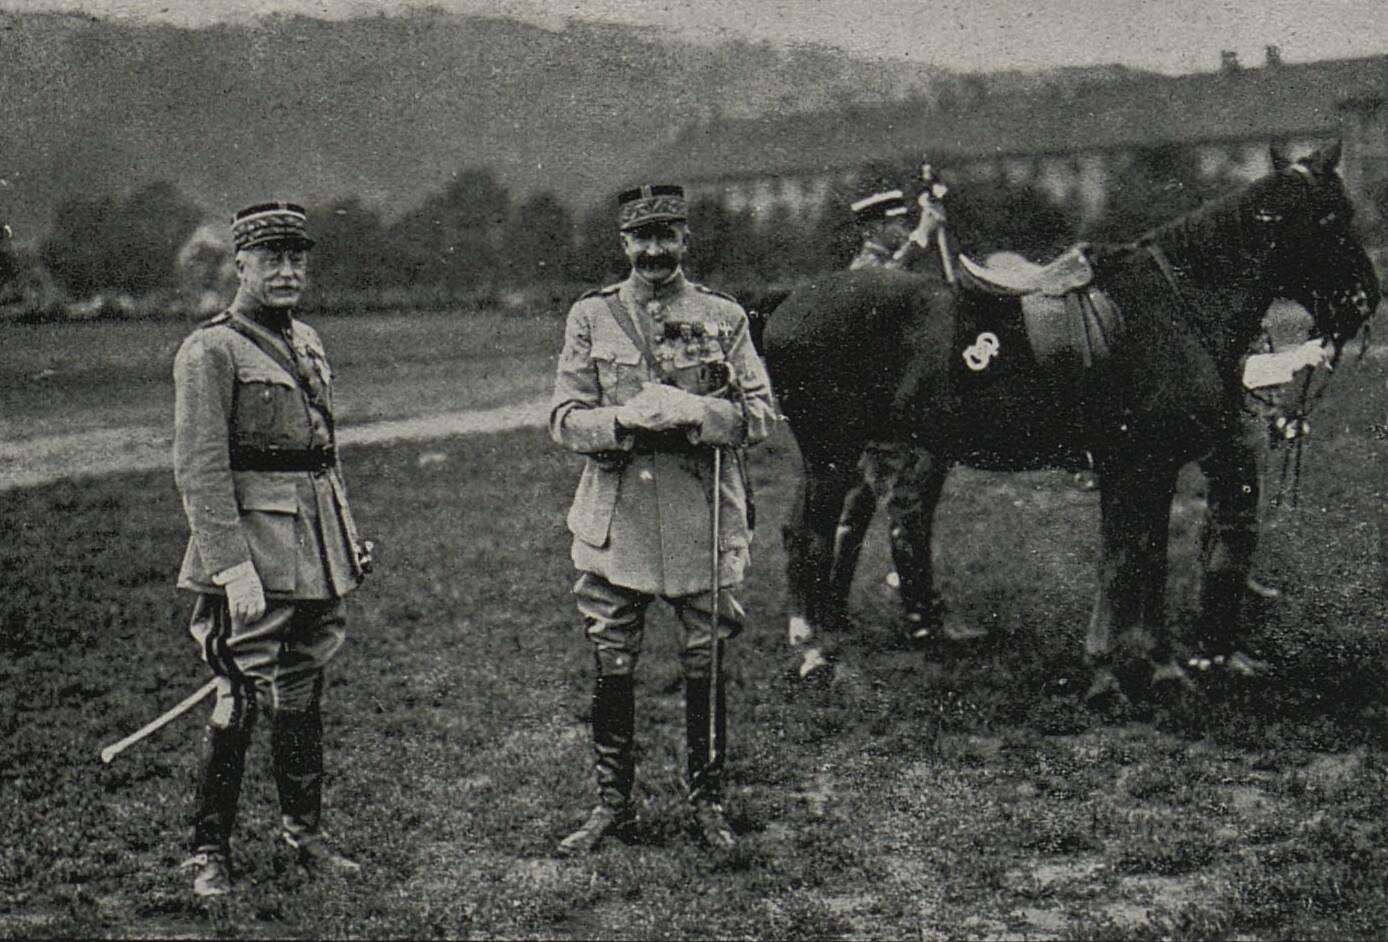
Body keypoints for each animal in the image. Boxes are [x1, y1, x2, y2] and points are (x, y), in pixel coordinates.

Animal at [762, 143, 1381, 701]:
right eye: (1334, 216)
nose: (1364, 300)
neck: (1173, 305)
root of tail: (788, 301)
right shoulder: (1142, 464)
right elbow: (1130, 559)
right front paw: (1119, 671)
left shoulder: (1146, 468)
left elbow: (1143, 557)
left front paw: (1153, 666)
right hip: (833, 455)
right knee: (815, 536)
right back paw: (818, 651)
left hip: (845, 456)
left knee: (823, 528)